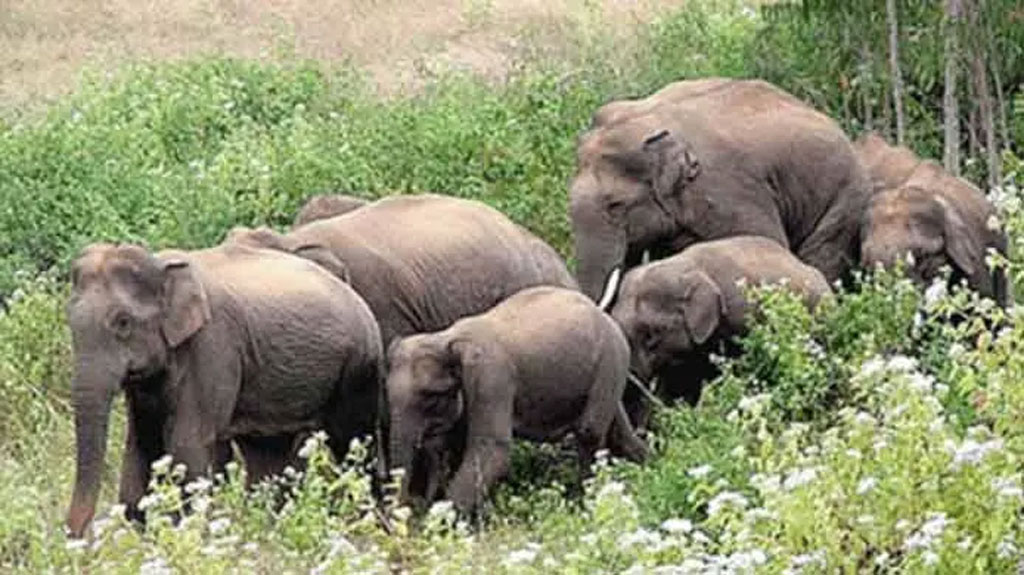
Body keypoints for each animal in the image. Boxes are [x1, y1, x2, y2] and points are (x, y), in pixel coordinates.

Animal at [64, 239, 385, 536]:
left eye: (123, 322)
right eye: (69, 321)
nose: (78, 538)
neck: (161, 265)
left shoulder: (214, 346)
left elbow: (188, 443)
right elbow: (143, 442)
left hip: (357, 367)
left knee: (352, 443)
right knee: (268, 453)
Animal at [385, 284, 647, 511]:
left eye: (431, 398)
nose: (409, 505)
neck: (445, 338)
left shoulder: (491, 378)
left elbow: (492, 449)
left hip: (610, 359)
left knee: (589, 432)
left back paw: (580, 502)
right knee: (618, 432)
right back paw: (646, 465)